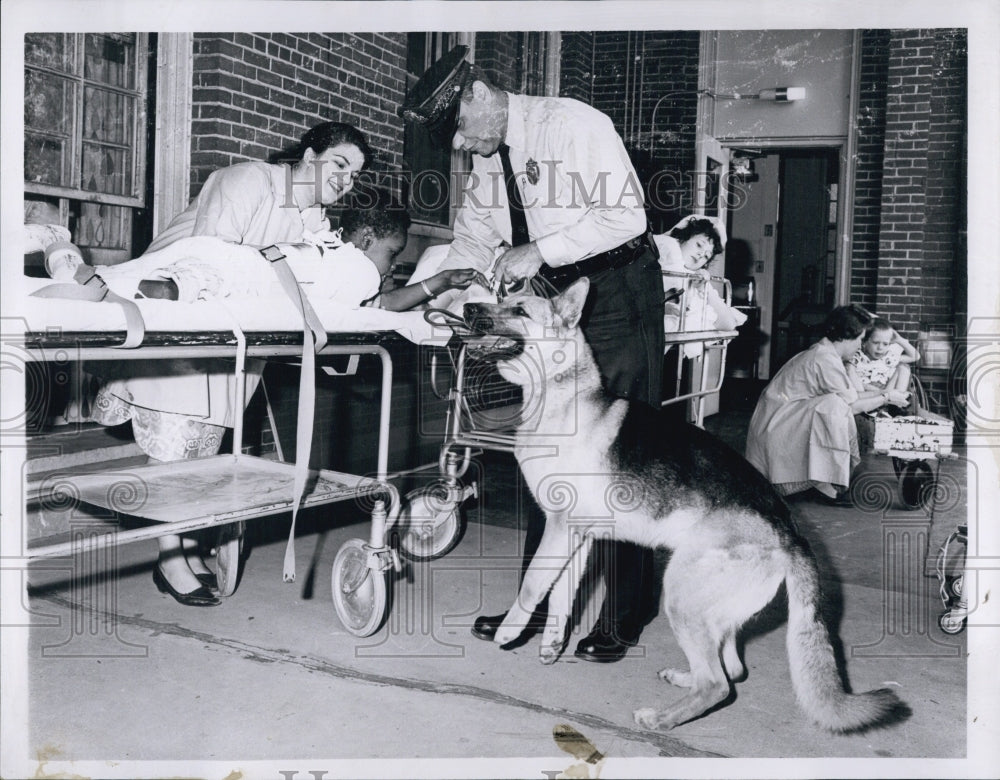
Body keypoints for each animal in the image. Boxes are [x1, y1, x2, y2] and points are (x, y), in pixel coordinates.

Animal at [464, 278, 904, 732]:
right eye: (501, 300)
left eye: (519, 311)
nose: (467, 309)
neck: (560, 394)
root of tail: (790, 534)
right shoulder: (575, 535)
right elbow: (560, 594)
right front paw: (551, 642)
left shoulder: (560, 528)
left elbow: (535, 583)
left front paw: (510, 630)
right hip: (709, 612)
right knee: (732, 669)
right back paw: (683, 680)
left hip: (678, 593)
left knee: (718, 684)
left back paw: (660, 718)